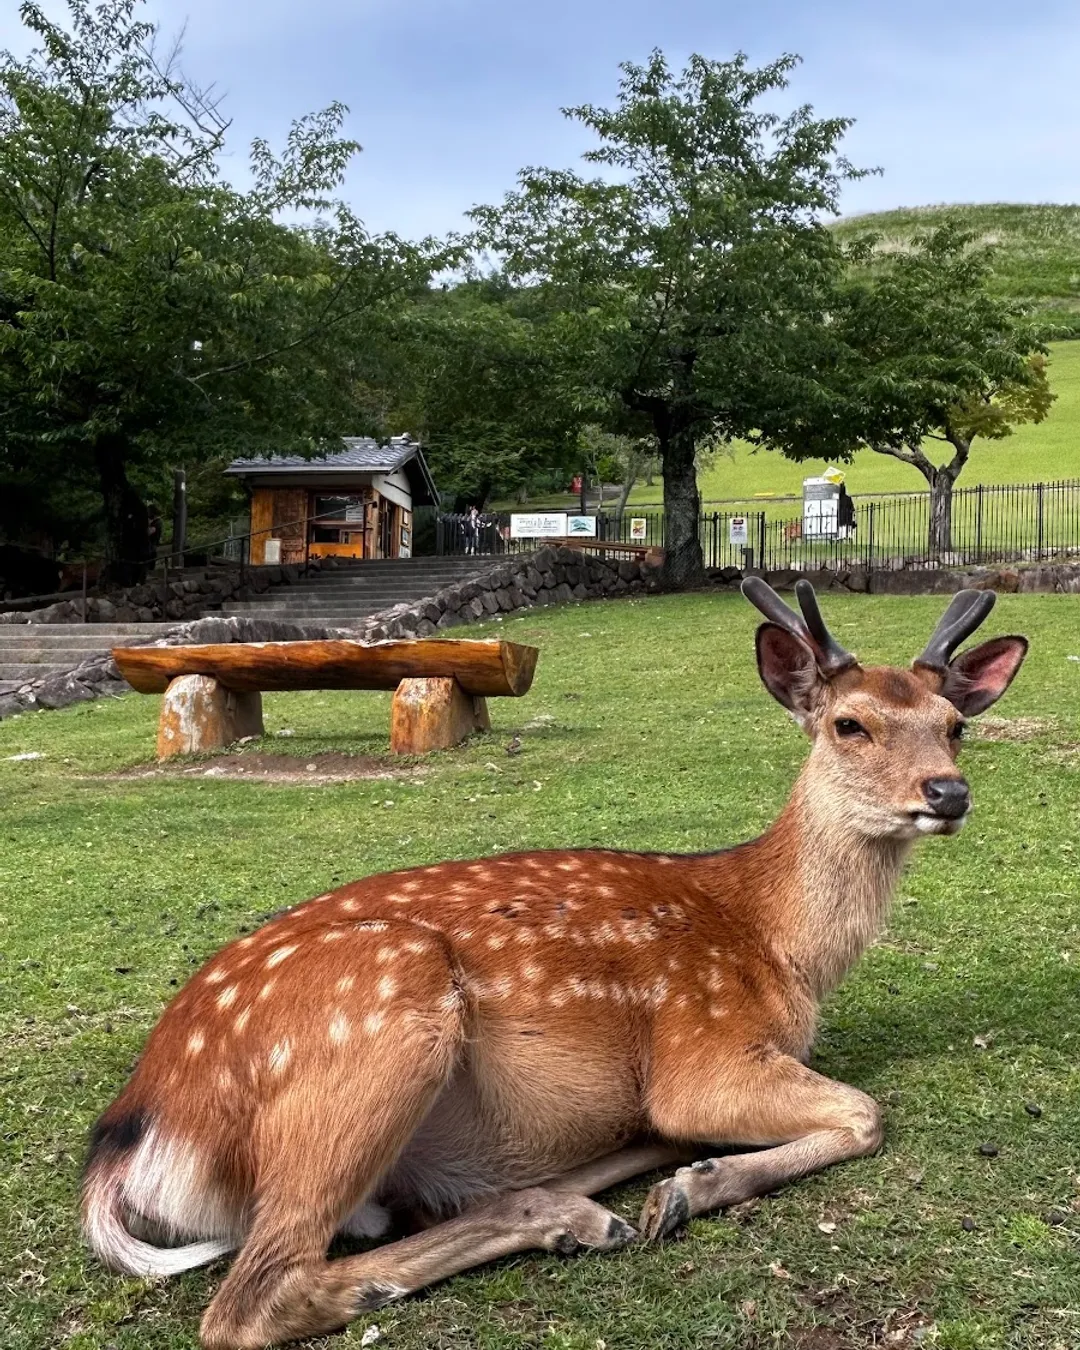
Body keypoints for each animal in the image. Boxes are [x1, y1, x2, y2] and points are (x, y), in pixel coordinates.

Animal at [84, 583, 1031, 1350]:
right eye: (848, 723)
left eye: (956, 726)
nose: (947, 792)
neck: (777, 947)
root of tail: (130, 1140)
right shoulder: (704, 1050)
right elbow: (866, 1114)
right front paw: (690, 1190)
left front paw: (677, 1183)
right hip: (387, 1013)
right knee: (256, 1298)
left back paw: (569, 1210)